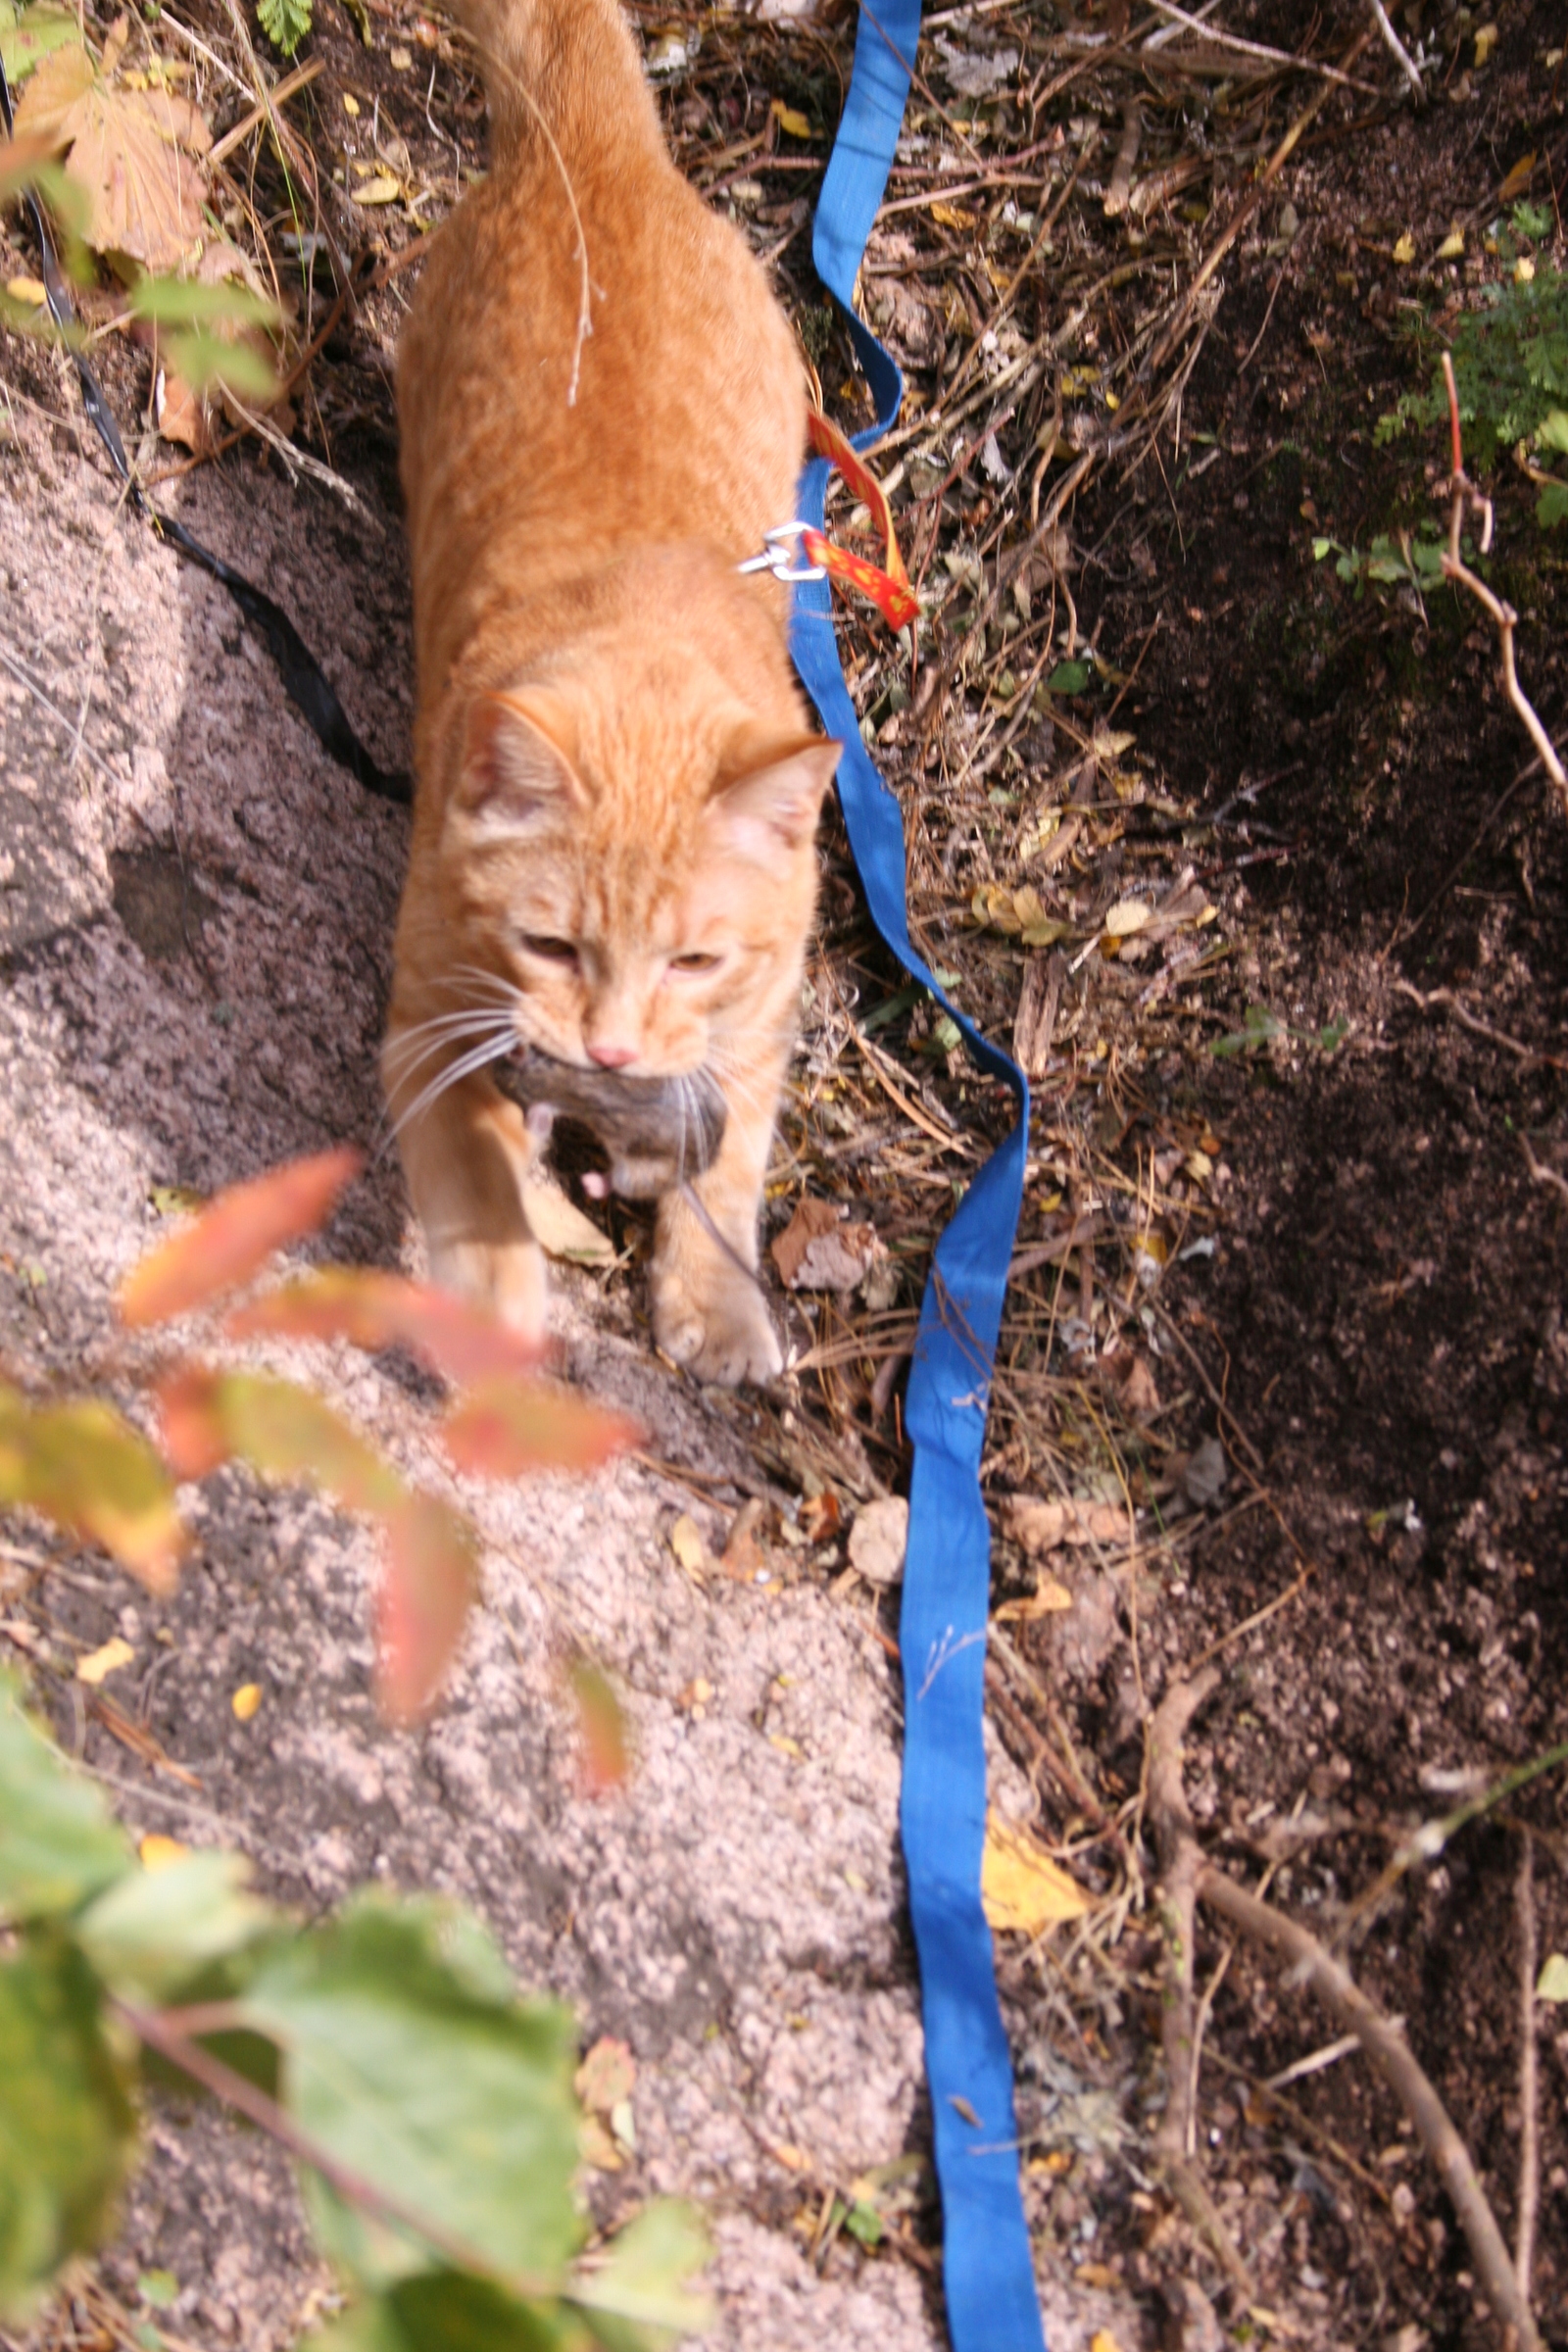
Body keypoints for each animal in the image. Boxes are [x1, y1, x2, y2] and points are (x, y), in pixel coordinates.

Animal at [385, 0, 841, 1373]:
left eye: (693, 960)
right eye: (549, 943)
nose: (610, 1048)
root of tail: (600, 154)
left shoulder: (757, 1017)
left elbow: (731, 1163)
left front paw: (713, 1298)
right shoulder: (428, 1020)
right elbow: (477, 1182)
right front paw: (491, 1309)